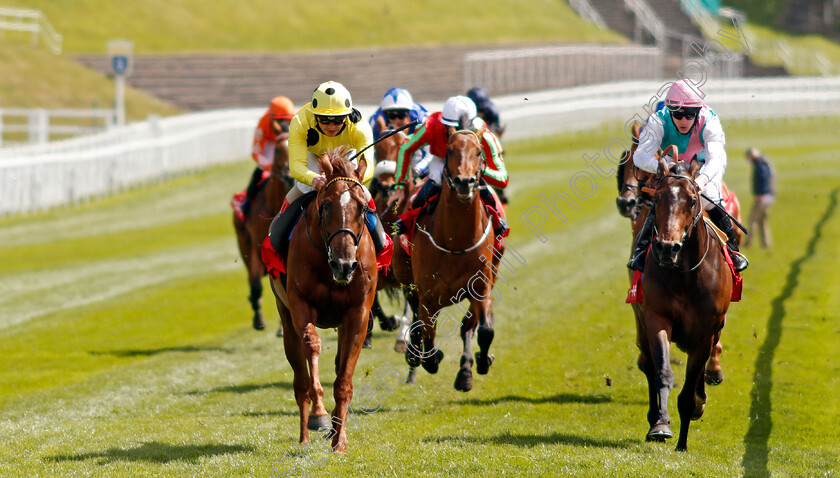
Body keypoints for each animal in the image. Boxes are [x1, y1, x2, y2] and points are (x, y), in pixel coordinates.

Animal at [270, 148, 378, 454]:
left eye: (362, 208)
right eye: (326, 206)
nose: (344, 265)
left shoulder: (358, 313)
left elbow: (344, 378)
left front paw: (339, 440)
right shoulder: (300, 305)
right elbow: (313, 347)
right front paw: (319, 416)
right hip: (286, 319)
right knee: (299, 379)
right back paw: (305, 436)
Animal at [398, 130, 498, 392]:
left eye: (479, 151)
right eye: (450, 150)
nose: (465, 182)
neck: (455, 242)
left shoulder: (481, 286)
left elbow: (485, 330)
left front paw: (482, 362)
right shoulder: (428, 295)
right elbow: (428, 335)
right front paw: (429, 359)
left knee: (467, 326)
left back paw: (465, 371)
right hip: (406, 281)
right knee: (416, 319)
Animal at [640, 157, 732, 452]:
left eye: (692, 201)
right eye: (657, 198)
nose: (668, 248)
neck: (684, 275)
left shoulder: (705, 332)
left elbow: (689, 390)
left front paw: (683, 442)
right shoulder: (656, 318)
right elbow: (663, 373)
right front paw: (661, 425)